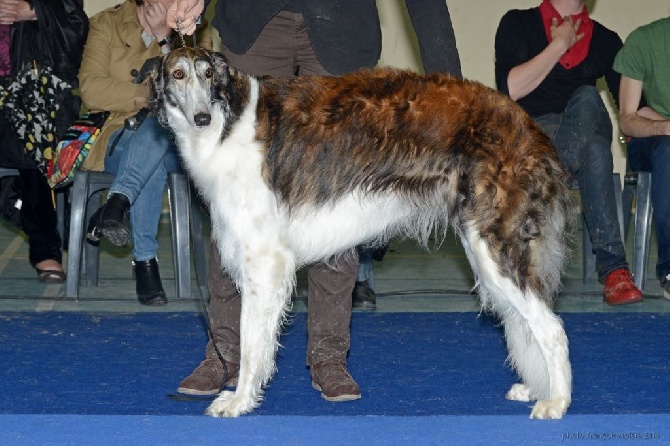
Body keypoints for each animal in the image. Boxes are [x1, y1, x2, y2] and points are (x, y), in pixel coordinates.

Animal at [144, 47, 576, 420]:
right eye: (178, 74)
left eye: (208, 75)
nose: (201, 118)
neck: (230, 121)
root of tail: (529, 127)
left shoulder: (265, 261)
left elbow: (253, 345)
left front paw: (238, 400)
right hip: (486, 247)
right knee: (525, 322)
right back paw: (535, 389)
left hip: (496, 246)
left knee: (552, 328)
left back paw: (556, 402)